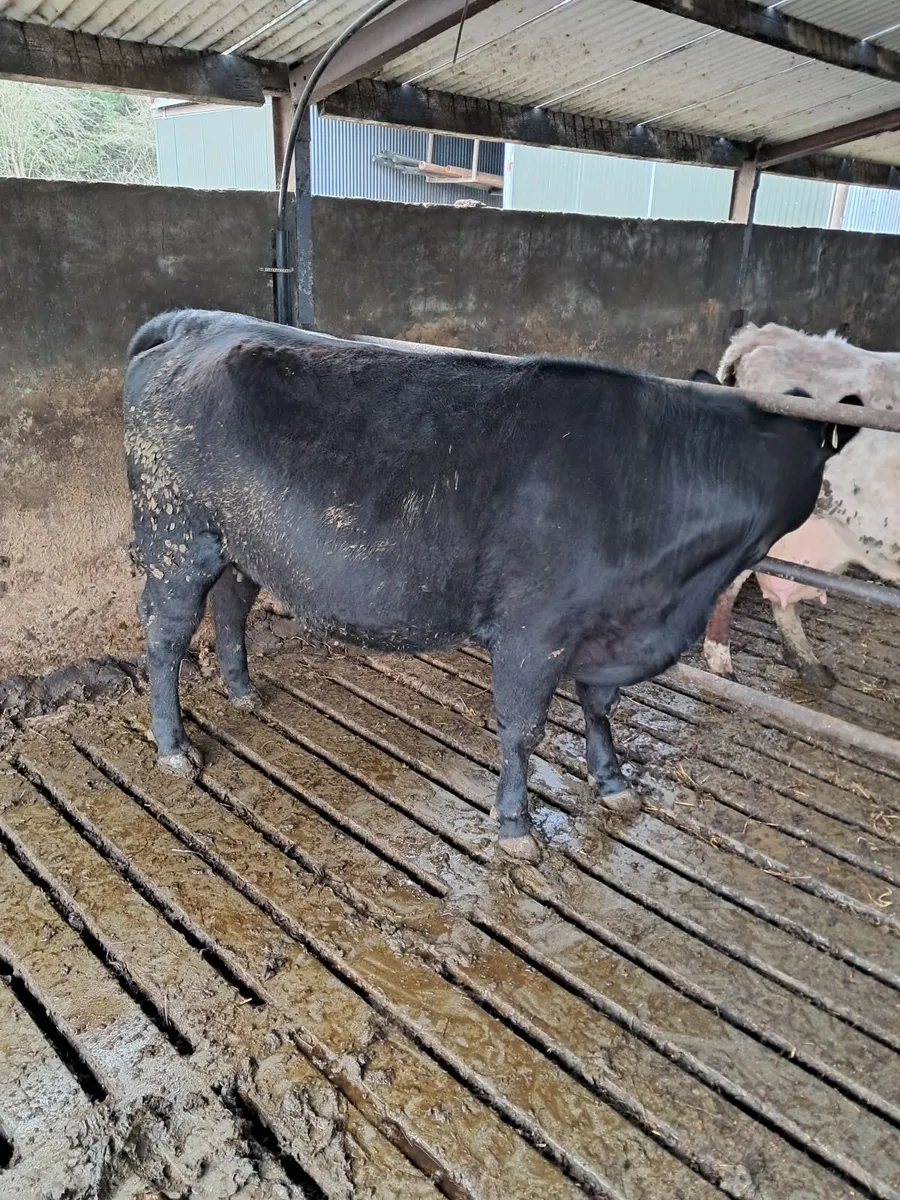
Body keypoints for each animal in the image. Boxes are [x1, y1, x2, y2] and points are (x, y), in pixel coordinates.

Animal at [124, 309, 862, 860]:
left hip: (238, 544)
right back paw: (174, 749)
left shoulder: (609, 629)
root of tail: (198, 324)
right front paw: (515, 827)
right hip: (174, 536)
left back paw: (242, 691)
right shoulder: (534, 631)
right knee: (164, 638)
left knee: (232, 603)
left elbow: (600, 707)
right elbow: (523, 730)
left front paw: (612, 783)